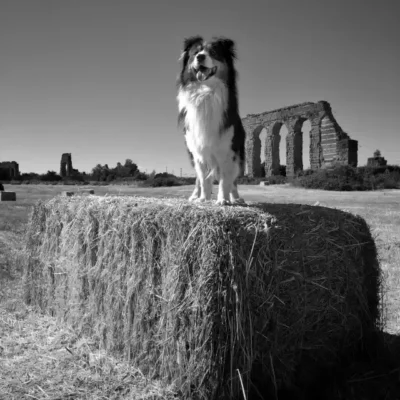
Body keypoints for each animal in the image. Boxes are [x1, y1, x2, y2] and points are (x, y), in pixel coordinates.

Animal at [177, 36, 245, 206]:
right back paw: (195, 196)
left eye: (213, 52)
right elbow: (203, 179)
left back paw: (236, 198)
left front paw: (223, 200)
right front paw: (203, 199)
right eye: (195, 52)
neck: (206, 93)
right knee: (198, 179)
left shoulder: (228, 149)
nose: (200, 57)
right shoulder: (198, 150)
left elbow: (225, 180)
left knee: (233, 179)